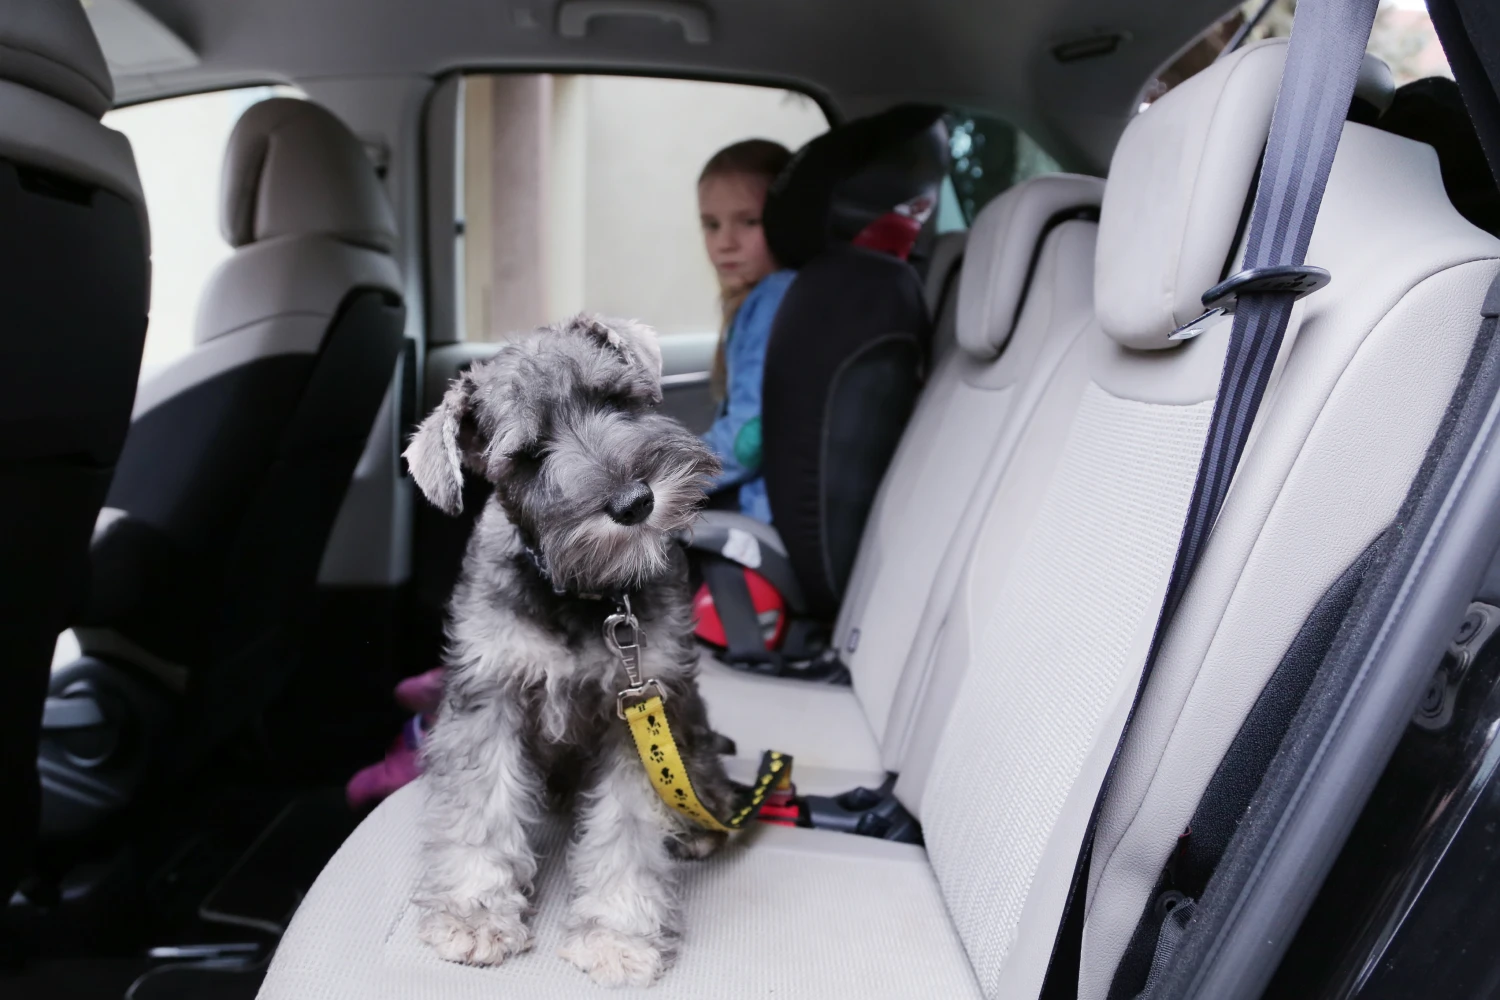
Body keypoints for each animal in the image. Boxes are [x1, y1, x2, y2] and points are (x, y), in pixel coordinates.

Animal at [408, 316, 741, 989]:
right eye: (528, 458)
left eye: (617, 401)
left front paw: (618, 934)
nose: (634, 502)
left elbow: (628, 826)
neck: (585, 592)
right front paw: (473, 914)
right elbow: (482, 808)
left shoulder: (638, 715)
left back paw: (702, 818)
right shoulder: (489, 699)